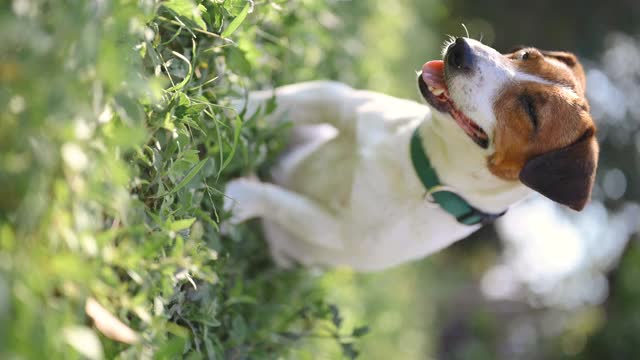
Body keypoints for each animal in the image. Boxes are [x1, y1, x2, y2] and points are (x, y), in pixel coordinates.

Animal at [222, 38, 596, 272]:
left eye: (530, 110)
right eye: (524, 55)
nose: (461, 51)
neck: (419, 163)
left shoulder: (336, 229)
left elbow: (279, 202)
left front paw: (238, 197)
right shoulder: (337, 100)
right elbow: (281, 102)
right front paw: (225, 100)